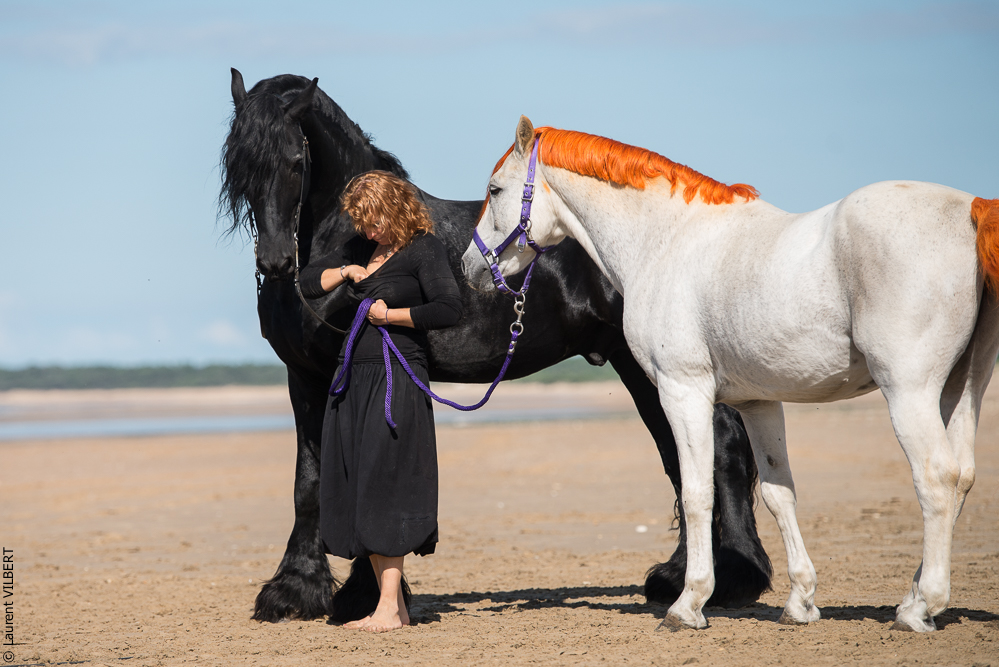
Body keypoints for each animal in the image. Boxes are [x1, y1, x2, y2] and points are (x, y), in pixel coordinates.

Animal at [218, 71, 772, 623]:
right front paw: (298, 590)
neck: (342, 242)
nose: (275, 262)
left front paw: (351, 592)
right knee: (683, 456)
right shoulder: (303, 377)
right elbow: (308, 483)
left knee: (715, 448)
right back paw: (683, 577)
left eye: (296, 161)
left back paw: (730, 577)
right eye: (238, 167)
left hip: (655, 369)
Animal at [463, 116, 999, 633]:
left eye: (494, 189)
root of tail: (970, 208)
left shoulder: (683, 390)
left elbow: (697, 492)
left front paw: (689, 604)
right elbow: (780, 494)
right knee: (962, 478)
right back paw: (912, 597)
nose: (470, 266)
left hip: (909, 390)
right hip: (959, 389)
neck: (666, 241)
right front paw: (801, 601)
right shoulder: (759, 402)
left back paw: (920, 608)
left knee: (936, 479)